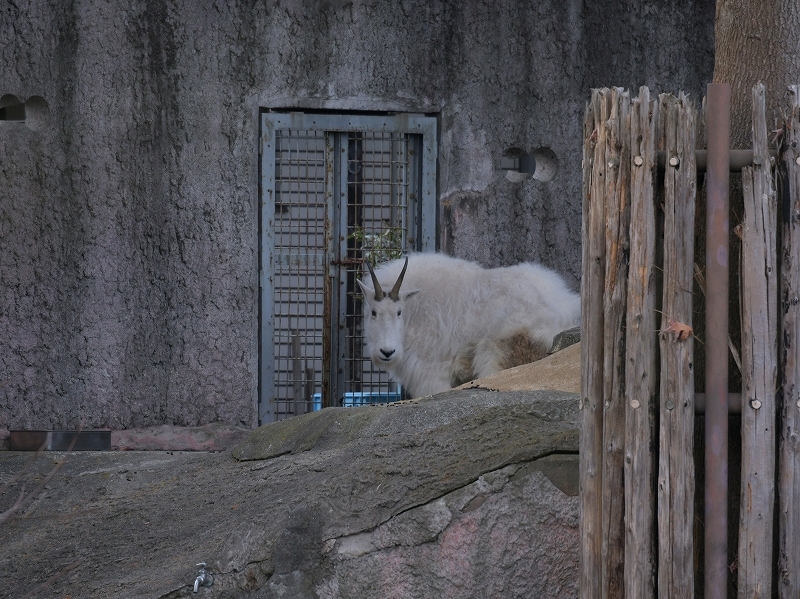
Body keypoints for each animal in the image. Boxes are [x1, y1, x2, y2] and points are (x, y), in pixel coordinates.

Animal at [358, 253, 580, 398]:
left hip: (503, 353)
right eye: (373, 312)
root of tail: (565, 310)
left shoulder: (431, 373)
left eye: (399, 312)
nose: (387, 352)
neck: (415, 311)